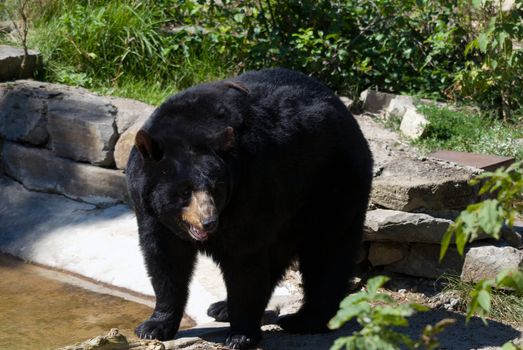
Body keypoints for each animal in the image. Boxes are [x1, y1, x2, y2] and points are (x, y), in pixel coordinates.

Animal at [126, 67, 372, 348]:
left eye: (216, 187)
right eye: (184, 191)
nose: (209, 222)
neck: (190, 128)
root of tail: (348, 116)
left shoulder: (250, 189)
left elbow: (243, 262)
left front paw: (240, 335)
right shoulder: (149, 209)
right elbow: (165, 259)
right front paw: (154, 326)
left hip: (332, 184)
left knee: (326, 251)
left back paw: (304, 319)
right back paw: (222, 307)